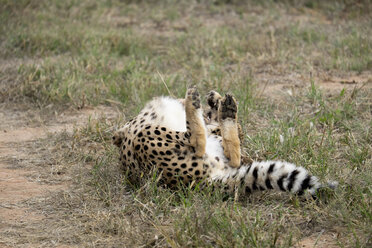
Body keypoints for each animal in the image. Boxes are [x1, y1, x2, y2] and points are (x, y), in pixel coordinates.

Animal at [113, 86, 338, 197]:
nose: (212, 95)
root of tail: (202, 183)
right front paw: (217, 104)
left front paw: (219, 103)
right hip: (145, 136)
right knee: (203, 143)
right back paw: (207, 105)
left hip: (147, 136)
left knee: (215, 148)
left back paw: (217, 108)